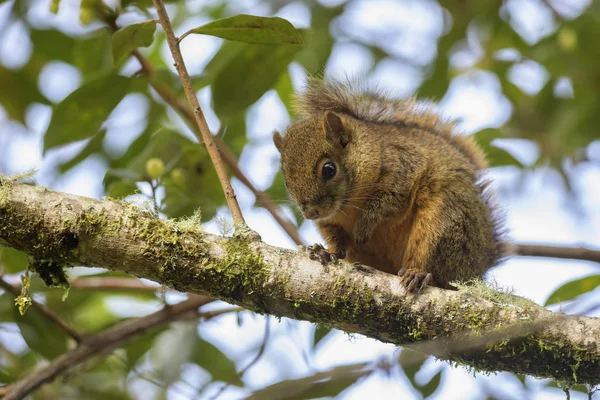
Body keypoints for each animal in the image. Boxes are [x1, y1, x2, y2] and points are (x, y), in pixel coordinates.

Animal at [274, 78, 504, 292]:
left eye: (329, 169)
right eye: (286, 179)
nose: (310, 213)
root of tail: (478, 268)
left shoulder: (403, 168)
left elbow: (386, 202)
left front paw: (363, 227)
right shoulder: (329, 222)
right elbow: (336, 238)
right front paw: (327, 252)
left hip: (446, 220)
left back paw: (418, 273)